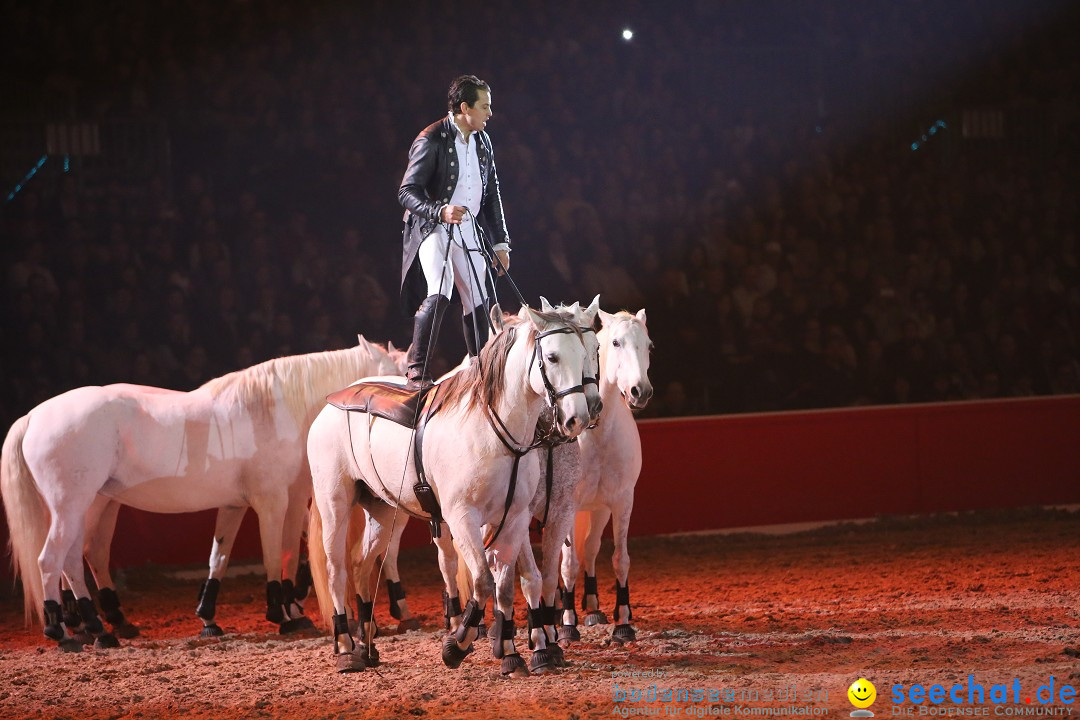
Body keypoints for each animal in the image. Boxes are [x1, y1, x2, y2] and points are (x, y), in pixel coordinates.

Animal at [0, 334, 401, 651]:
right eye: (391, 373)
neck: (272, 409)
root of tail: (33, 417)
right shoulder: (274, 501)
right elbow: (276, 552)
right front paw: (283, 613)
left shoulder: (236, 505)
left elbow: (218, 557)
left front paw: (209, 617)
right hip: (72, 506)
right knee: (53, 560)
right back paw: (64, 630)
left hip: (92, 505)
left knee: (79, 558)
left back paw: (103, 626)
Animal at [304, 306, 591, 673]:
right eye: (552, 357)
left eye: (586, 353)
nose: (576, 418)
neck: (492, 428)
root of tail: (330, 405)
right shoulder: (461, 517)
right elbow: (482, 579)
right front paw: (457, 645)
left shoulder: (513, 519)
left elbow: (505, 586)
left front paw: (512, 654)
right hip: (334, 505)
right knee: (336, 571)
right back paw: (344, 646)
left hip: (382, 510)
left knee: (360, 564)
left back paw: (366, 647)